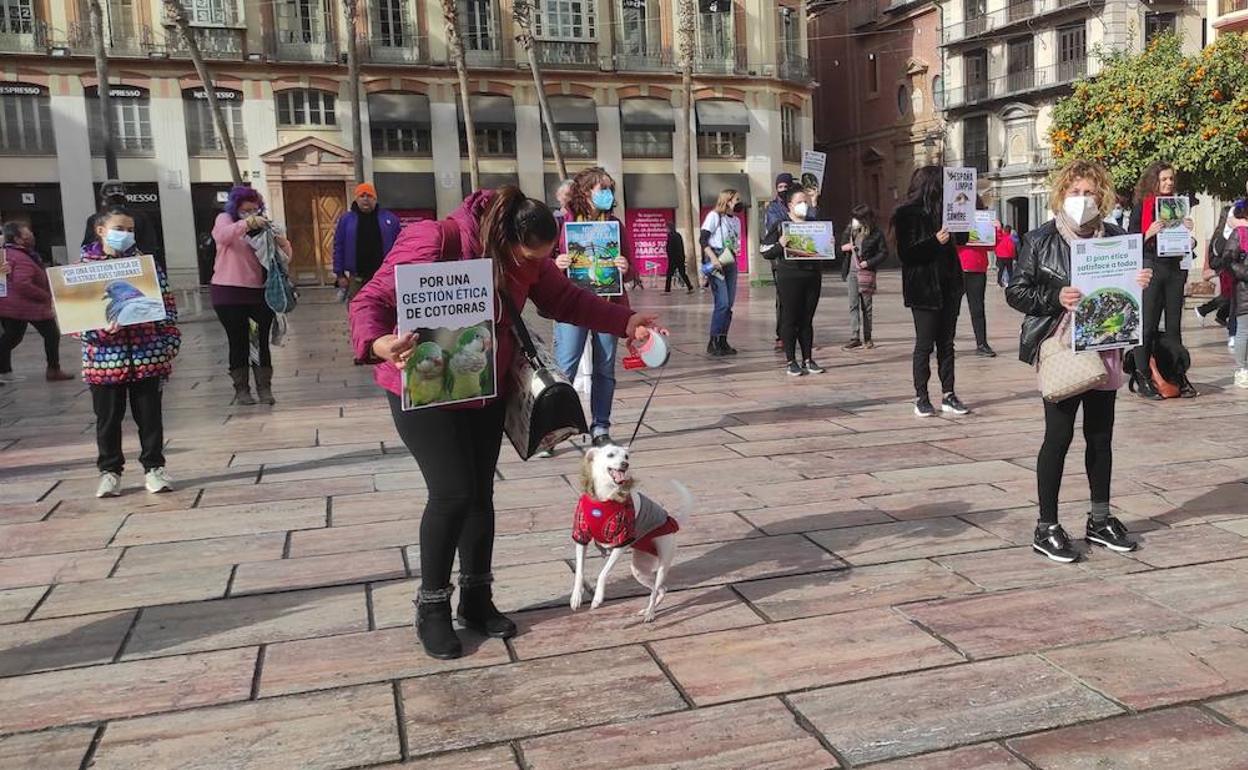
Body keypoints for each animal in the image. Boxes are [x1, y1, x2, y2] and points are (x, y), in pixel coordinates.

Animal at [569, 441, 693, 621]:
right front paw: (576, 597)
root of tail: (673, 521)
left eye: (626, 456)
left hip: (662, 564)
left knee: (656, 589)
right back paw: (648, 610)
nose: (625, 464)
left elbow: (603, 573)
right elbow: (579, 571)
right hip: (639, 569)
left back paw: (650, 614)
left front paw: (597, 598)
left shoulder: (621, 543)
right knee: (660, 590)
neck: (605, 497)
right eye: (610, 455)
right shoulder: (581, 536)